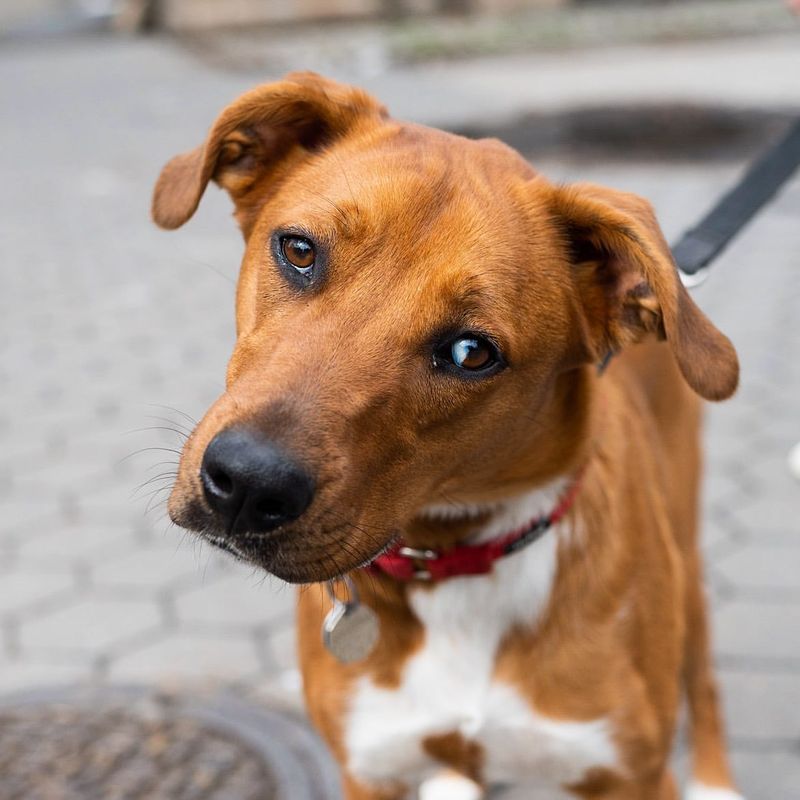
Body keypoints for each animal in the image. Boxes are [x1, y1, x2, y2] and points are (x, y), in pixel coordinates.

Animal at [155, 72, 744, 796]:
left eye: (471, 352)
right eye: (298, 250)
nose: (245, 484)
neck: (454, 563)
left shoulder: (629, 773)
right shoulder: (372, 767)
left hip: (684, 545)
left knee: (703, 672)